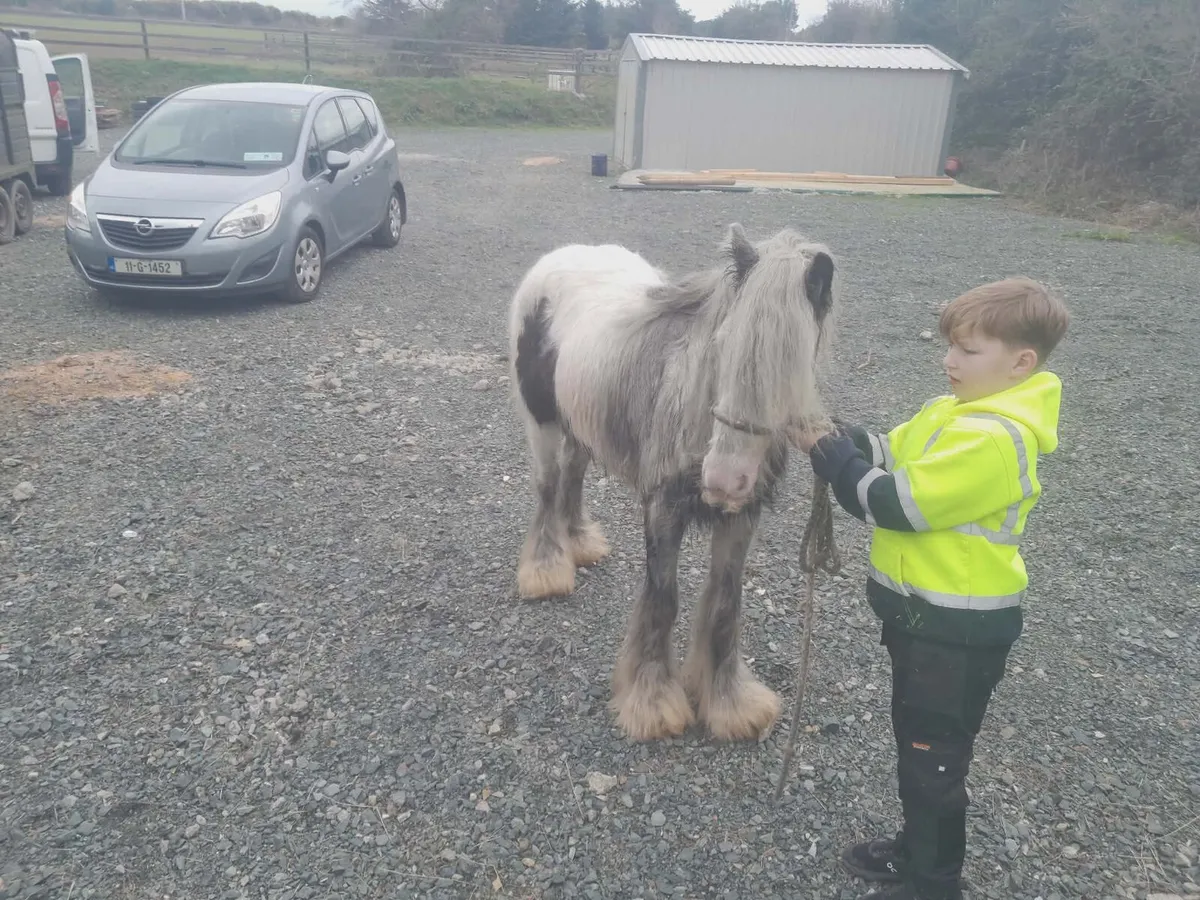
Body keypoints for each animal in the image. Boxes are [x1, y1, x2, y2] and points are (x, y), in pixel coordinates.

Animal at [506, 223, 837, 743]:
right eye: (722, 342)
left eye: (794, 363)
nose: (722, 480)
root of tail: (561, 257)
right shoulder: (662, 509)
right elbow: (663, 598)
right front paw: (653, 702)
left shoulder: (742, 518)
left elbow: (725, 603)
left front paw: (730, 704)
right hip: (541, 422)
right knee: (547, 487)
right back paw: (546, 571)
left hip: (581, 421)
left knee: (573, 475)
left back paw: (580, 544)